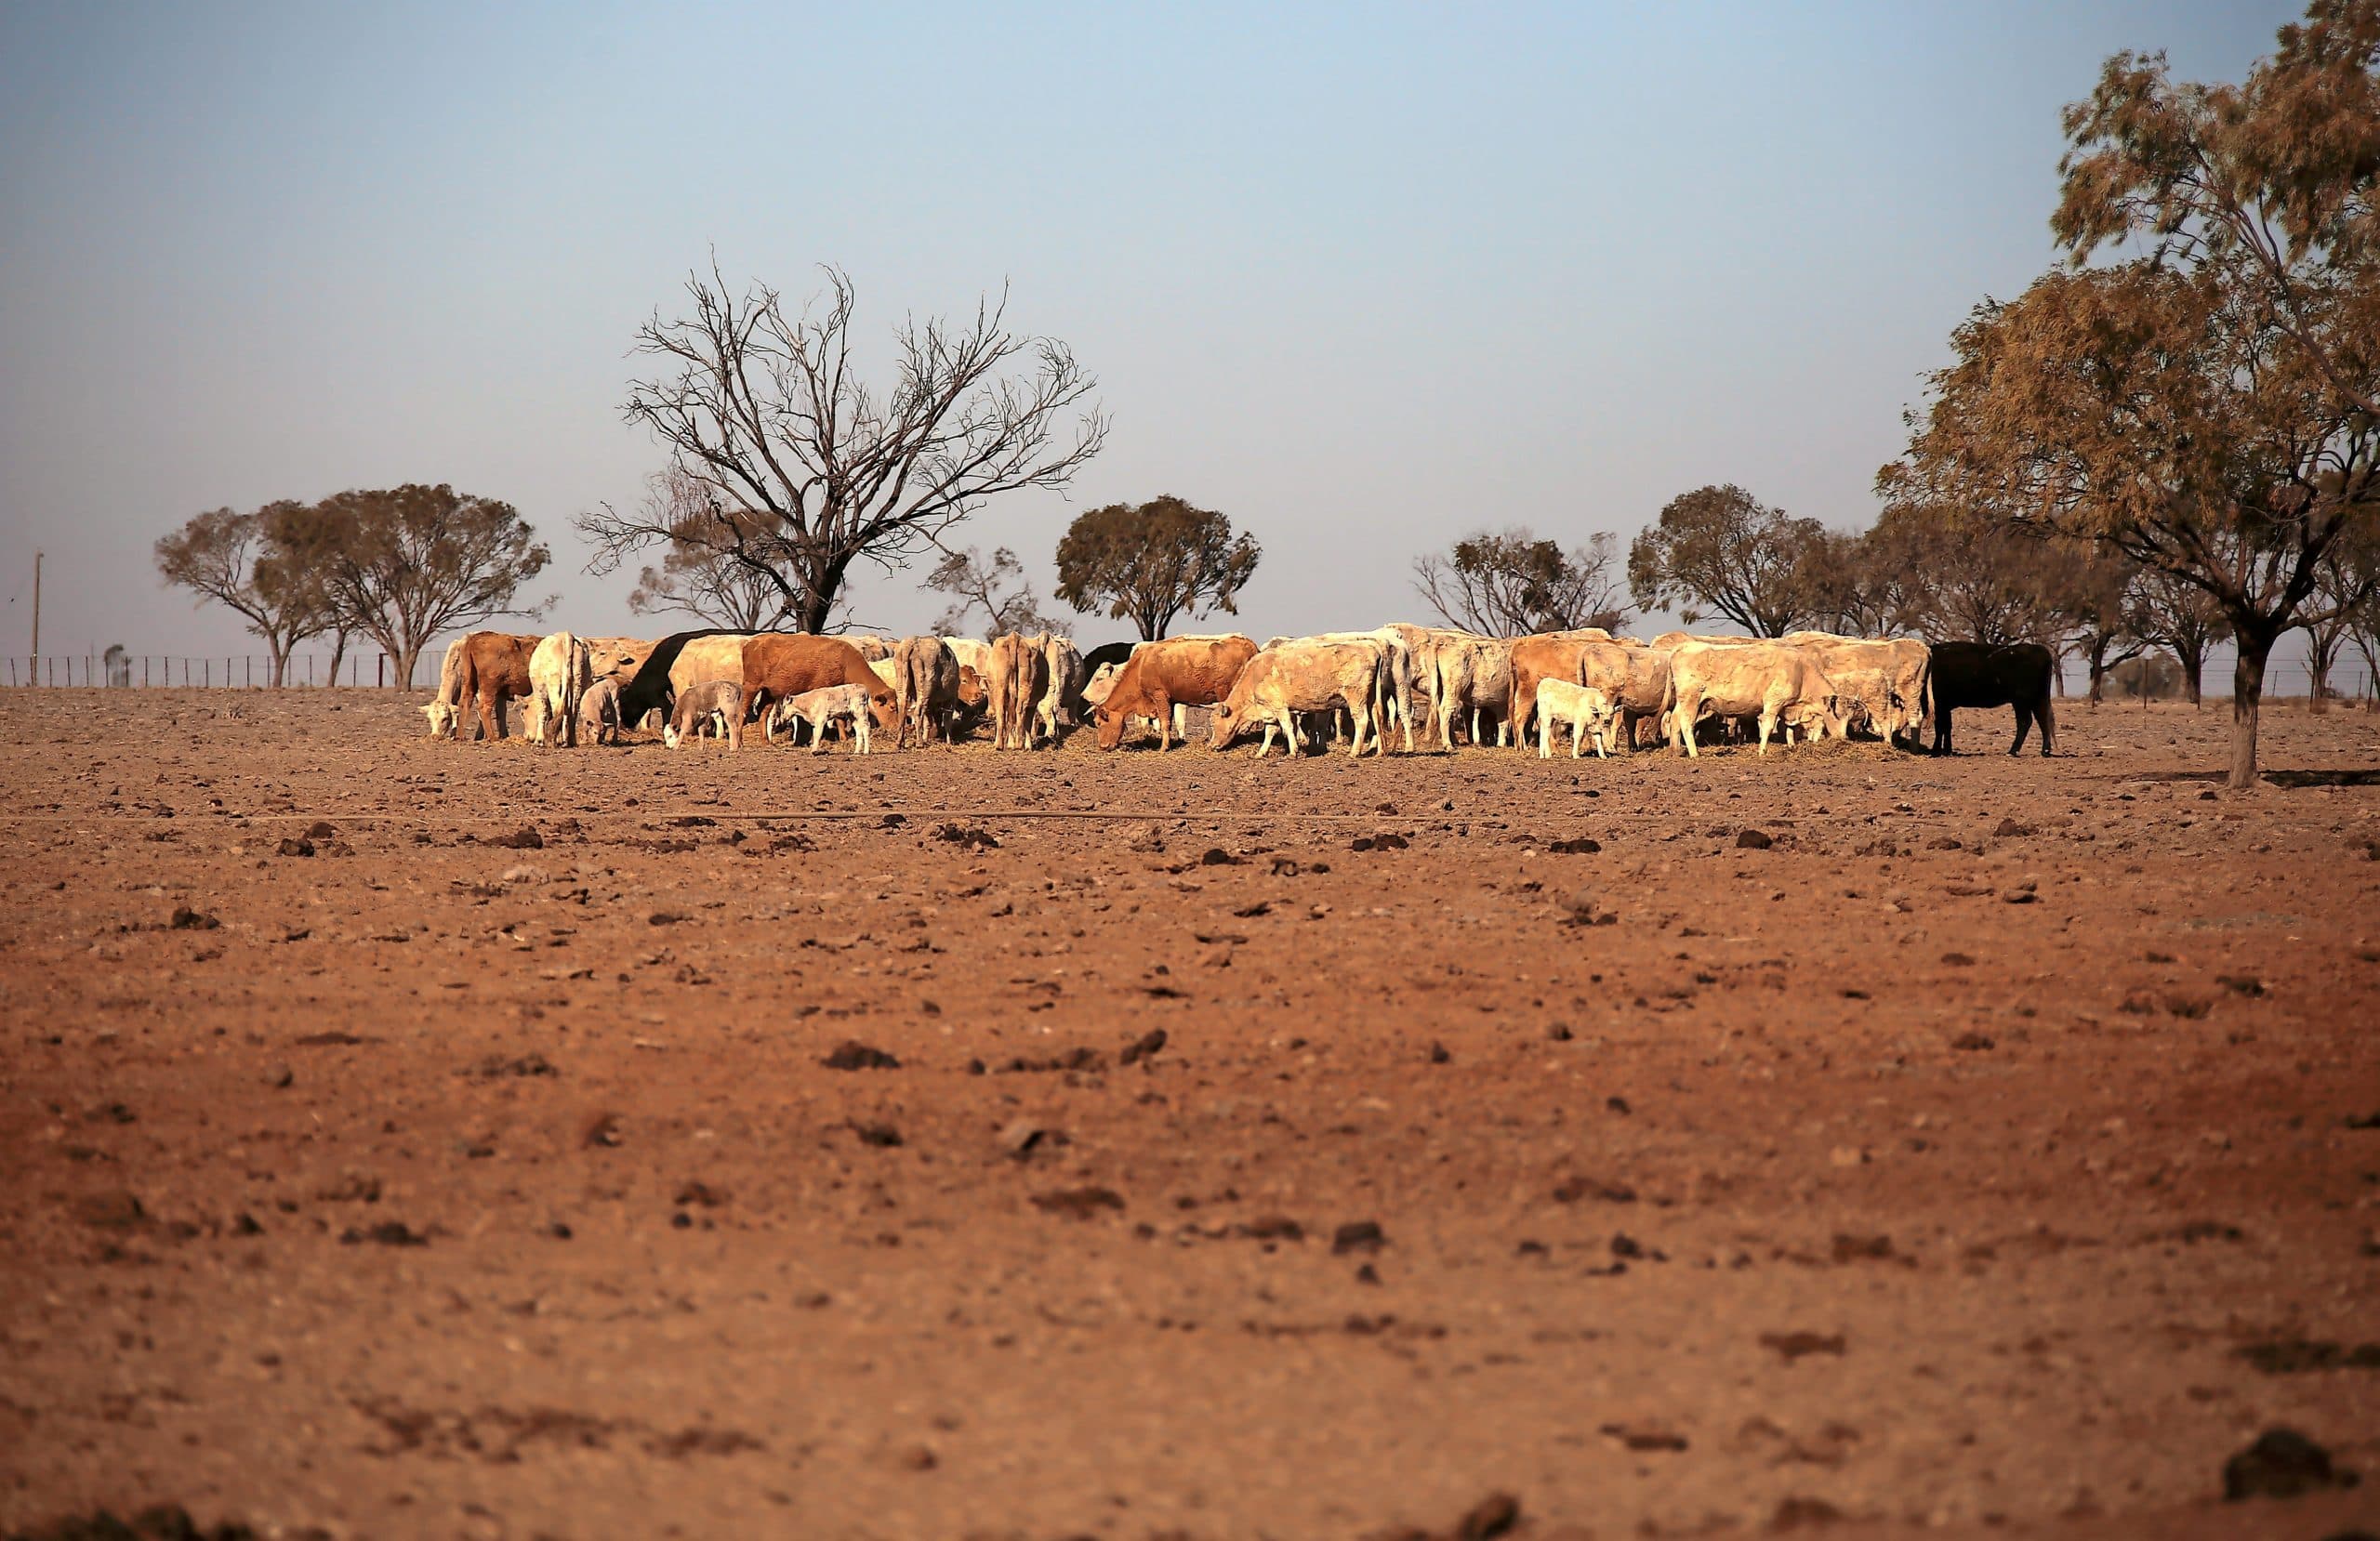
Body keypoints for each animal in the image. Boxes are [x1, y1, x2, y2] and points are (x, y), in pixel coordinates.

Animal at [730, 634, 898, 750]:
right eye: (892, 707)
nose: (895, 728)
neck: (845, 664)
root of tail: (751, 643)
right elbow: (837, 718)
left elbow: (840, 718)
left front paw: (843, 738)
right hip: (751, 686)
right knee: (742, 711)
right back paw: (739, 742)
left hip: (769, 692)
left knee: (763, 712)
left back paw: (767, 741)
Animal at [1095, 635, 1258, 750]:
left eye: (1098, 723)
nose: (1102, 746)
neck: (1140, 666)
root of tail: (1249, 645)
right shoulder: (1171, 700)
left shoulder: (1159, 696)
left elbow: (1164, 722)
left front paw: (1163, 748)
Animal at [1209, 641, 1389, 758]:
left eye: (1215, 724)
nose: (1211, 745)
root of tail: (1372, 649)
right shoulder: (1270, 711)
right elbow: (1270, 732)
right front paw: (1261, 752)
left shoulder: (1279, 707)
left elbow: (1288, 727)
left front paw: (1293, 752)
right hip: (1372, 698)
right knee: (1377, 718)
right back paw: (1380, 751)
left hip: (1355, 697)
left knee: (1362, 720)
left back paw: (1354, 752)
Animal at [1663, 641, 1851, 757]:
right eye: (1838, 715)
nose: (1843, 739)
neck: (1802, 672)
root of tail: (1684, 646)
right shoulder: (1773, 702)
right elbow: (1768, 727)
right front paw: (1762, 751)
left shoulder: (1787, 708)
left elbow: (1790, 730)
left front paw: (1792, 747)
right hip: (1691, 698)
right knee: (1686, 723)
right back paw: (1694, 754)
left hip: (1683, 701)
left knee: (1675, 720)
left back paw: (1676, 750)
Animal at [1927, 641, 2057, 756]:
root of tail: (2038, 649)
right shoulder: (1944, 707)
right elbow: (1946, 727)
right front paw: (1946, 750)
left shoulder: (1940, 705)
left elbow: (1941, 728)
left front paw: (1936, 750)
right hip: (2036, 700)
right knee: (2043, 720)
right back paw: (2045, 751)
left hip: (2022, 701)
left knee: (2025, 722)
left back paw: (2012, 751)